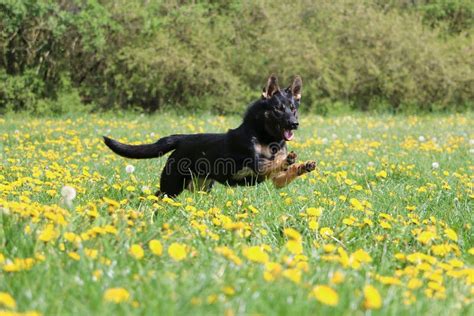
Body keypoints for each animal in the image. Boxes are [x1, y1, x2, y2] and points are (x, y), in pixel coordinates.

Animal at [105, 75, 316, 196]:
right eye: (278, 109)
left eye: (293, 109)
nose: (294, 124)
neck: (268, 138)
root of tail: (182, 138)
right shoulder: (257, 166)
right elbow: (274, 162)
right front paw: (288, 159)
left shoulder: (276, 179)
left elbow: (286, 170)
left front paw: (303, 165)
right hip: (172, 185)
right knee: (158, 194)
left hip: (200, 186)